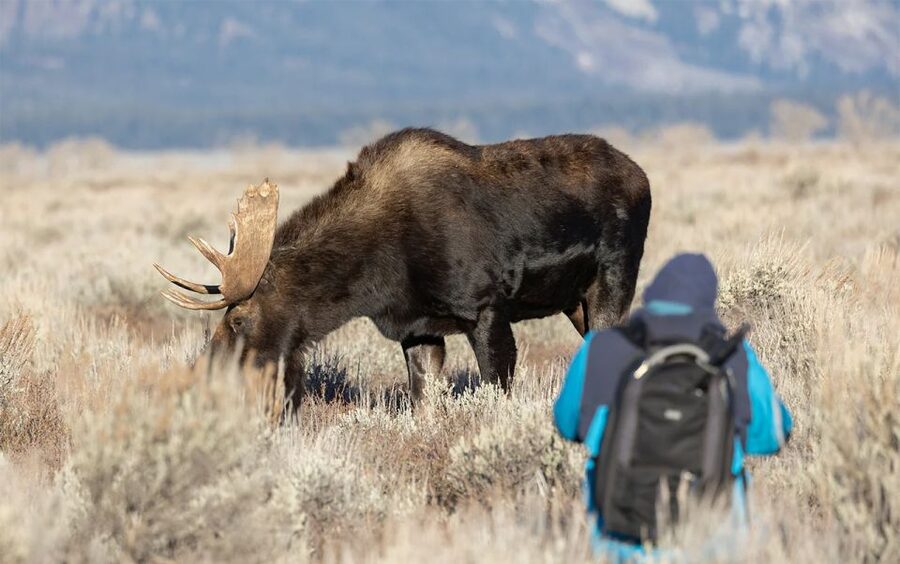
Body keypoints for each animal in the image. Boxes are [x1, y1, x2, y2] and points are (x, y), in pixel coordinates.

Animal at [155, 128, 651, 410]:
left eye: (239, 318)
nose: (206, 373)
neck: (374, 278)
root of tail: (643, 178)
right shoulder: (418, 327)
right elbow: (423, 402)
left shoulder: (486, 308)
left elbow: (497, 392)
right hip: (574, 302)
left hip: (613, 279)